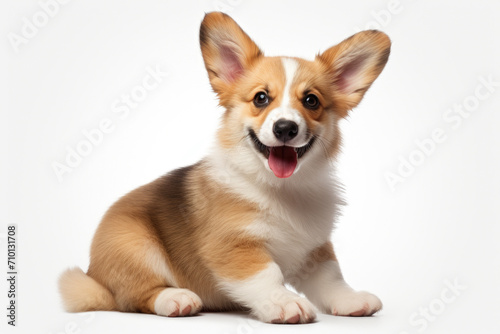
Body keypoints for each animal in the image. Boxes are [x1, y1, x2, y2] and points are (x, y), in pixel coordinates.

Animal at [58, 11, 390, 324]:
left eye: (311, 101)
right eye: (260, 98)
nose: (285, 128)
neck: (281, 188)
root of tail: (95, 277)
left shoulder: (314, 248)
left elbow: (331, 276)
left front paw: (350, 300)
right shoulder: (233, 246)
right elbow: (266, 274)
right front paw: (284, 303)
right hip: (134, 244)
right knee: (133, 296)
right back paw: (175, 299)